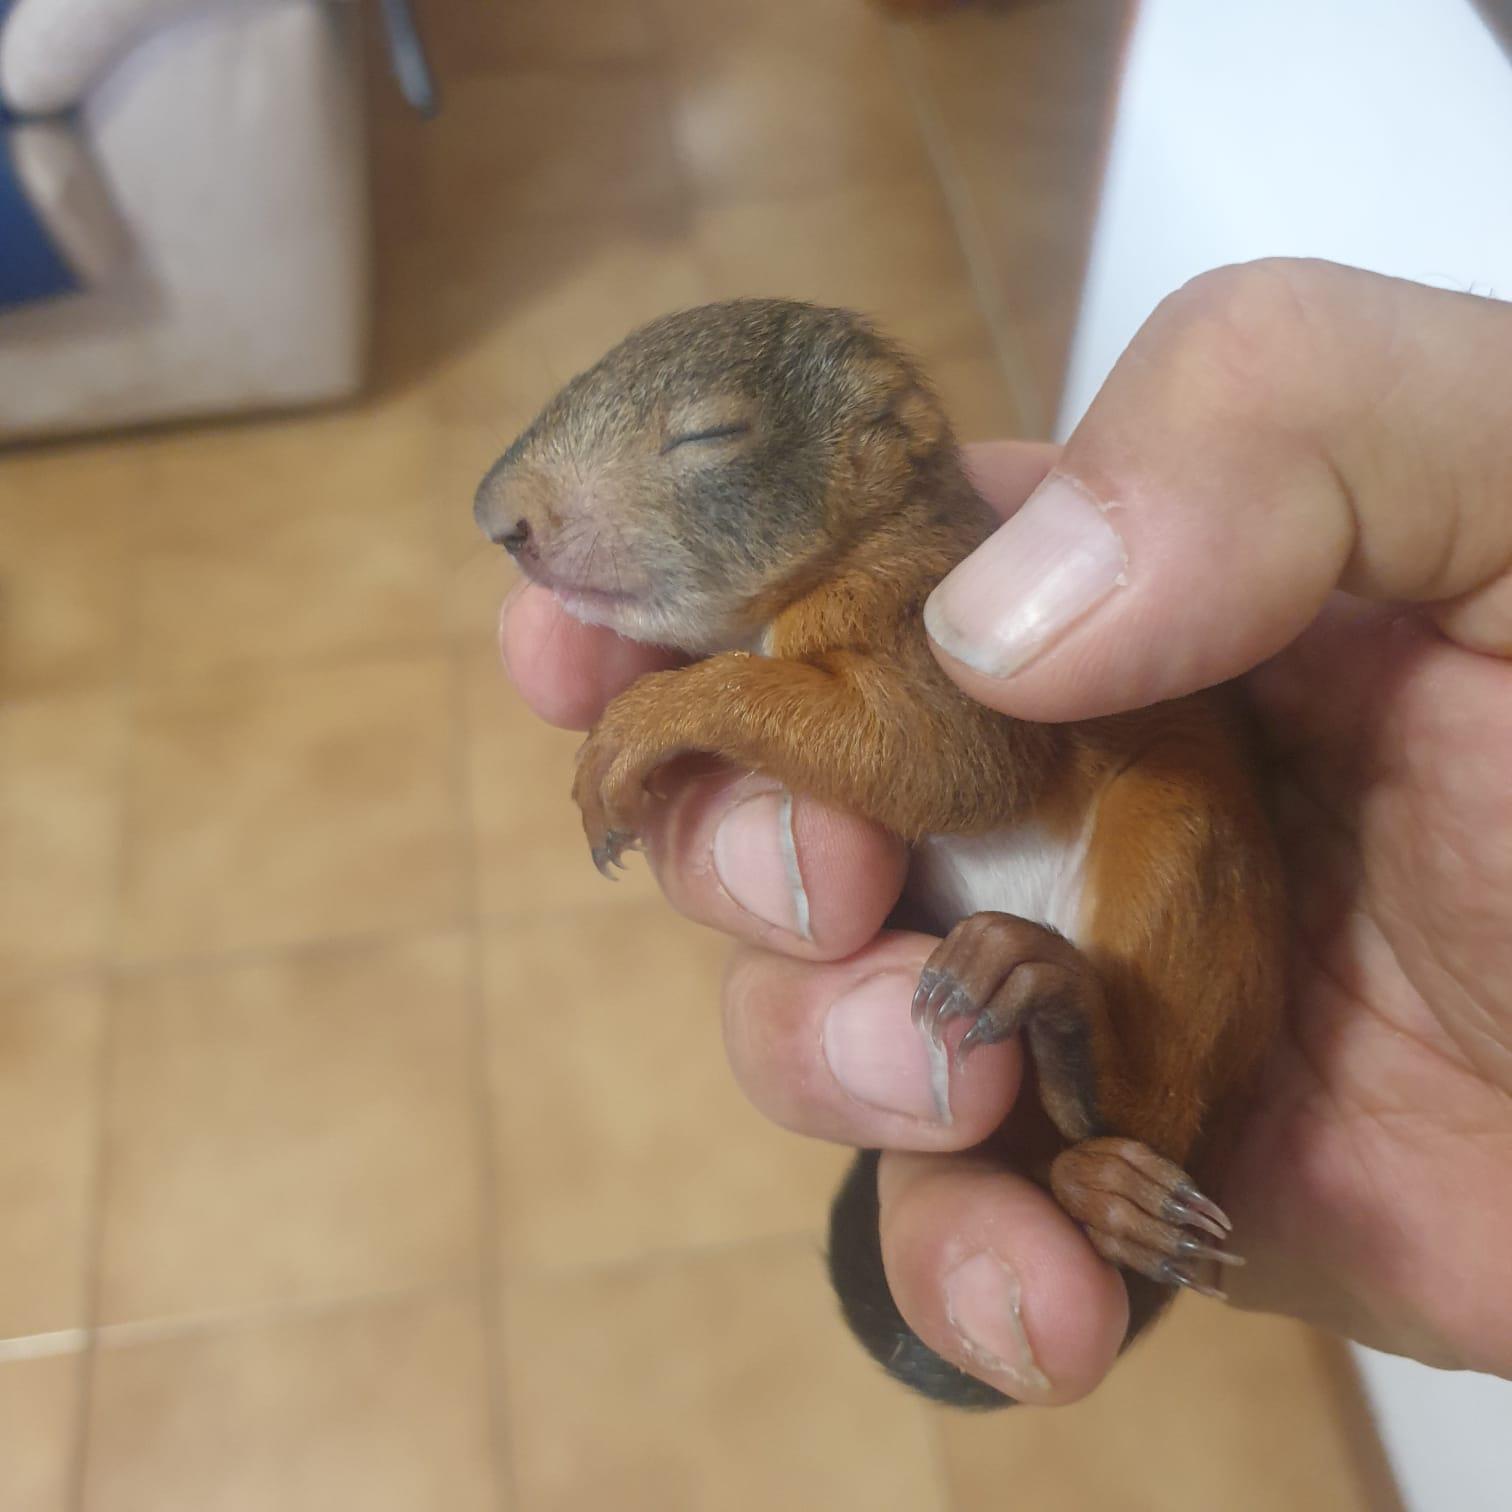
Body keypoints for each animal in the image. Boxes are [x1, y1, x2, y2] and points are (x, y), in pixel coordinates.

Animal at [474, 299, 1287, 1409]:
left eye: (710, 434)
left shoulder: (938, 639)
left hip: (1181, 843)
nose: (497, 517)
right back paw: (1088, 1179)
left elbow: (941, 760)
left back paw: (1060, 1012)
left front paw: (641, 724)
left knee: (1149, 1099)